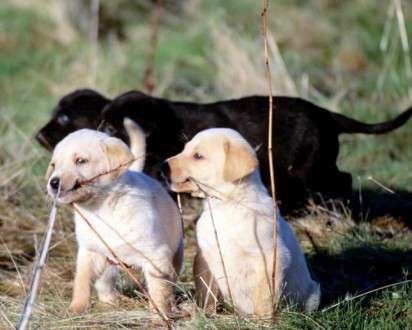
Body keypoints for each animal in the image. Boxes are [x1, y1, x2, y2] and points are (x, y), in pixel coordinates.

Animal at [35, 89, 412, 214]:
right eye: (98, 124)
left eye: (113, 129)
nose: (39, 135)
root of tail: (326, 114)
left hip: (311, 166)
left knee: (341, 179)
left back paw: (341, 211)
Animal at [45, 119, 183, 318]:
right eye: (54, 165)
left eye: (80, 161)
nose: (53, 183)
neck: (102, 208)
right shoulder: (89, 252)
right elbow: (81, 283)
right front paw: (75, 309)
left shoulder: (157, 257)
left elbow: (159, 293)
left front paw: (159, 318)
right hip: (107, 264)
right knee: (105, 285)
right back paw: (110, 303)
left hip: (177, 254)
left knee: (171, 282)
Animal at [163, 128, 320, 314]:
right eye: (184, 149)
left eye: (198, 156)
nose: (162, 166)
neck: (227, 205)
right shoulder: (205, 256)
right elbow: (206, 290)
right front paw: (204, 313)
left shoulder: (271, 257)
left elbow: (264, 298)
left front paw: (263, 319)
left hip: (312, 295)